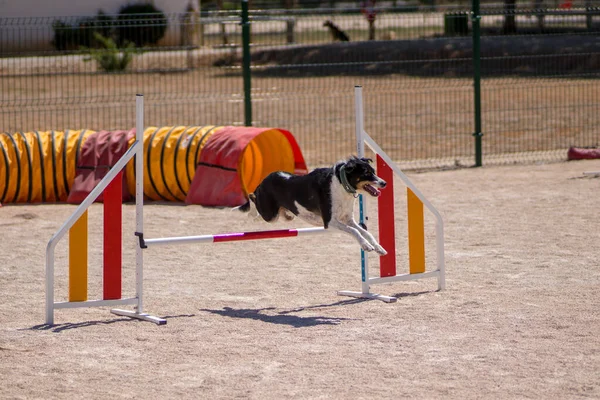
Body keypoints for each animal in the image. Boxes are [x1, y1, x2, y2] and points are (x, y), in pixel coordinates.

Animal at [237, 155, 386, 255]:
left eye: (374, 171)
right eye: (366, 173)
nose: (384, 183)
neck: (341, 184)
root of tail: (263, 181)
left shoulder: (348, 220)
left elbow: (365, 232)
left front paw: (379, 247)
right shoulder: (329, 222)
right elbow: (355, 231)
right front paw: (366, 246)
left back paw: (287, 214)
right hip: (270, 215)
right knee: (252, 197)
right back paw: (252, 214)